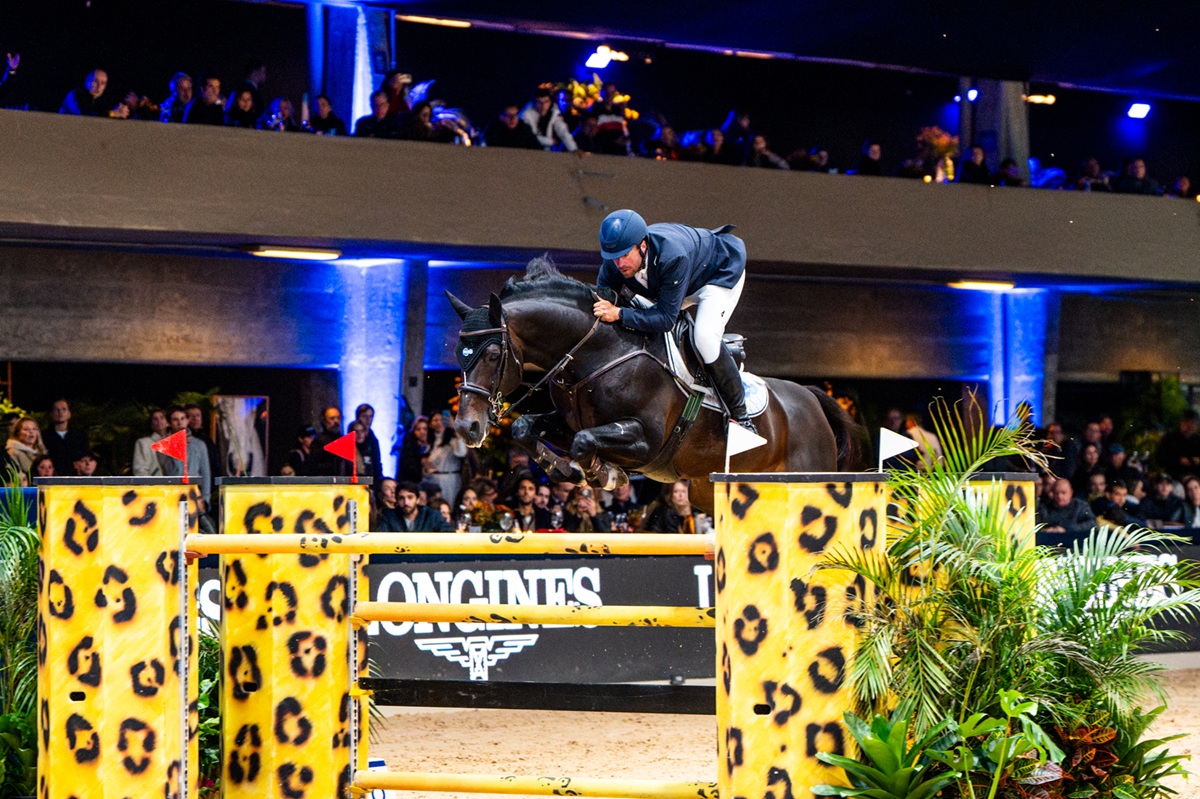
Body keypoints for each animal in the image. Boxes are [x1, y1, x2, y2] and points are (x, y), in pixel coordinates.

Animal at [447, 260, 863, 512]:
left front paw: (603, 474)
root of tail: (810, 398)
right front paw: (569, 471)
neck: (597, 352)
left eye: (491, 354)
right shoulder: (566, 422)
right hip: (710, 490)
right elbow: (524, 428)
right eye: (457, 354)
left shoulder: (645, 441)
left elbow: (585, 443)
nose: (467, 428)